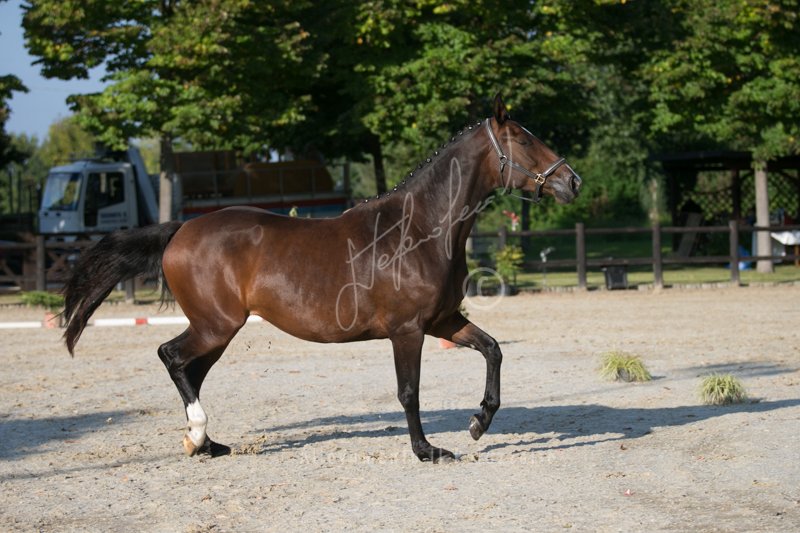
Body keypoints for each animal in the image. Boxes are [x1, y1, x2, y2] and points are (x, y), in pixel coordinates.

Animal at [61, 95, 582, 462]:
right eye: (525, 141)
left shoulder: (443, 320)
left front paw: (479, 422)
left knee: (190, 370)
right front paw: (427, 450)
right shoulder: (408, 331)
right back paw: (199, 435)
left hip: (217, 331)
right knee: (171, 357)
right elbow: (409, 392)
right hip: (216, 325)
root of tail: (181, 229)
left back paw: (205, 443)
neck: (419, 229)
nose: (571, 182)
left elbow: (492, 350)